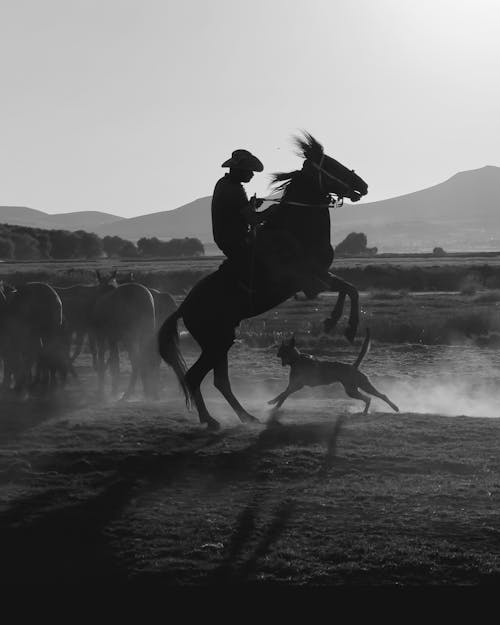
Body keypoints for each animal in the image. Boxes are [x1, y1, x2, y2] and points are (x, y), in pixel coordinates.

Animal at [158, 132, 370, 428]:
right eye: (331, 165)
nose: (363, 185)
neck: (297, 229)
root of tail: (183, 308)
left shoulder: (319, 277)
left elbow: (349, 289)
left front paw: (334, 322)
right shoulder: (308, 280)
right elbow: (348, 289)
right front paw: (345, 327)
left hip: (222, 341)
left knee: (220, 380)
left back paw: (246, 416)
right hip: (215, 342)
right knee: (196, 377)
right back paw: (211, 420)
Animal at [268, 332, 400, 414]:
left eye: (282, 350)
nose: (276, 354)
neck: (296, 360)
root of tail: (353, 366)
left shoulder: (297, 385)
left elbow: (283, 394)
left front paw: (273, 403)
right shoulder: (293, 385)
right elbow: (283, 394)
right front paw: (274, 404)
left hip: (359, 387)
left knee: (378, 396)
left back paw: (394, 407)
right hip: (353, 389)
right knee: (369, 398)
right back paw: (366, 411)